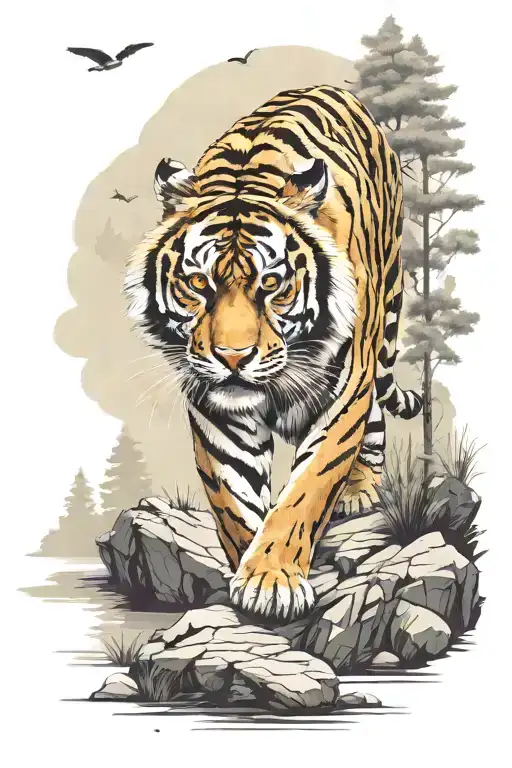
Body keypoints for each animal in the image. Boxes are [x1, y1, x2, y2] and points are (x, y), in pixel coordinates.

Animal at [125, 85, 422, 623]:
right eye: (198, 283)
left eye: (270, 284)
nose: (233, 357)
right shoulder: (217, 412)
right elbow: (235, 499)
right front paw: (250, 573)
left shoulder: (342, 394)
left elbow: (306, 491)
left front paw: (272, 579)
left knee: (374, 415)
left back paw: (360, 490)